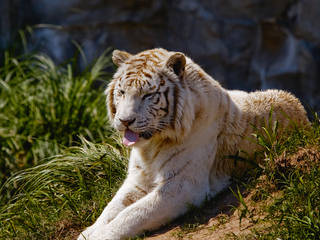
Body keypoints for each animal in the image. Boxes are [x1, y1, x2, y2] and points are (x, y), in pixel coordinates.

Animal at [77, 47, 308, 239]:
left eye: (148, 95)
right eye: (122, 92)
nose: (125, 121)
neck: (151, 146)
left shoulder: (183, 184)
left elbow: (132, 214)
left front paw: (100, 235)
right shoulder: (137, 180)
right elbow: (112, 208)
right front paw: (88, 232)